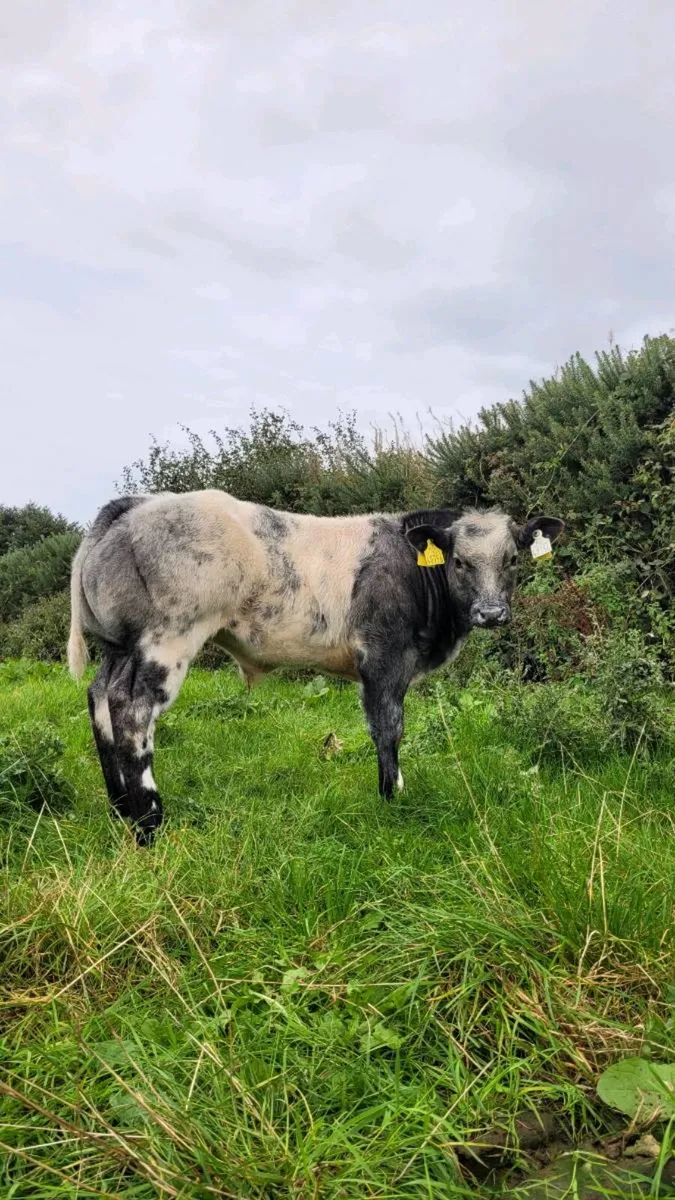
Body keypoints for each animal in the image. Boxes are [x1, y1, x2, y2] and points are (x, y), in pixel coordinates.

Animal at [68, 492, 563, 844]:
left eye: (512, 560)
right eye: (459, 562)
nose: (491, 613)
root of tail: (135, 503)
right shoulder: (385, 657)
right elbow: (388, 727)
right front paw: (391, 797)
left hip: (118, 646)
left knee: (100, 697)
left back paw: (120, 809)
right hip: (166, 639)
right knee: (131, 708)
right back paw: (149, 823)